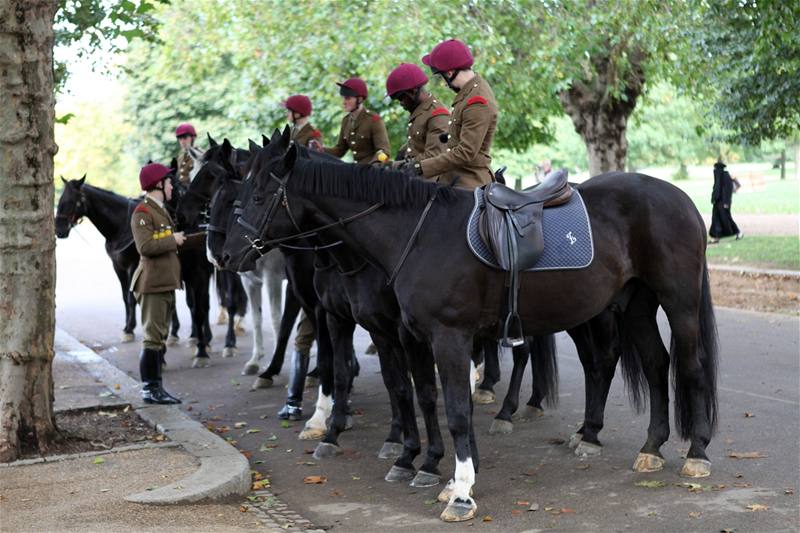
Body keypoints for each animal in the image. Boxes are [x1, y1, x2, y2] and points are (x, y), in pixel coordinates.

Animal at [223, 144, 720, 520]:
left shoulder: (449, 337)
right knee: (654, 364)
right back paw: (650, 446)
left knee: (689, 366)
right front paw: (429, 466)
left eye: (260, 195)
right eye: (238, 191)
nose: (225, 255)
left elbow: (457, 409)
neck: (417, 233)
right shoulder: (411, 336)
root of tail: (678, 198)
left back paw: (696, 453)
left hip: (676, 302)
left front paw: (460, 490)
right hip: (635, 304)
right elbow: (422, 396)